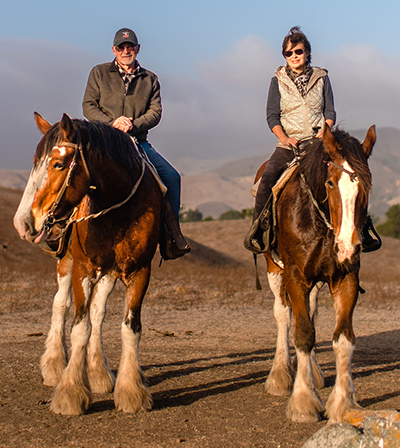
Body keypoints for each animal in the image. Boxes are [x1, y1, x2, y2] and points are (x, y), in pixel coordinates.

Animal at [12, 114, 162, 414]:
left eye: (58, 164)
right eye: (34, 162)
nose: (22, 222)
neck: (117, 208)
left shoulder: (140, 271)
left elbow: (129, 328)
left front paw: (131, 392)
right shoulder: (82, 270)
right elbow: (79, 327)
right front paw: (70, 393)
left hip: (107, 274)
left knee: (97, 312)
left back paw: (98, 373)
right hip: (67, 265)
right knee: (61, 304)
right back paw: (54, 366)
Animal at [256, 125, 376, 424]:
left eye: (367, 185)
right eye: (331, 183)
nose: (348, 246)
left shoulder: (346, 278)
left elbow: (343, 339)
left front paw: (342, 403)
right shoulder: (295, 277)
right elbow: (302, 334)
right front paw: (302, 402)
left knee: (309, 312)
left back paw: (313, 373)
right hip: (274, 269)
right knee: (282, 315)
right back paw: (279, 375)